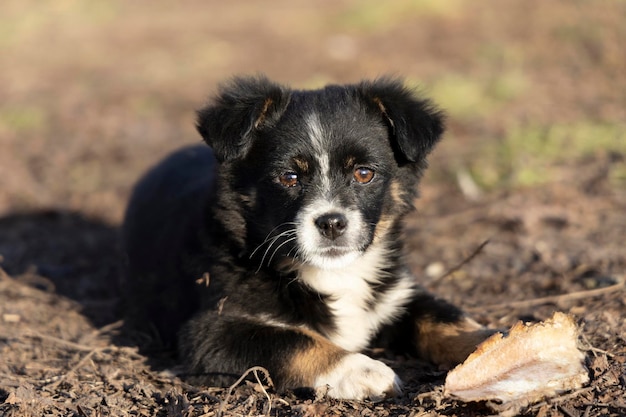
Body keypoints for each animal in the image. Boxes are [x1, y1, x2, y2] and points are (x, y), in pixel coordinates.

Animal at [123, 75, 492, 400]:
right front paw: (361, 370)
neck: (336, 273)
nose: (331, 223)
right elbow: (292, 341)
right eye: (289, 177)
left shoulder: (398, 293)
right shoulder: (210, 330)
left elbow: (443, 317)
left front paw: (492, 343)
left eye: (363, 173)